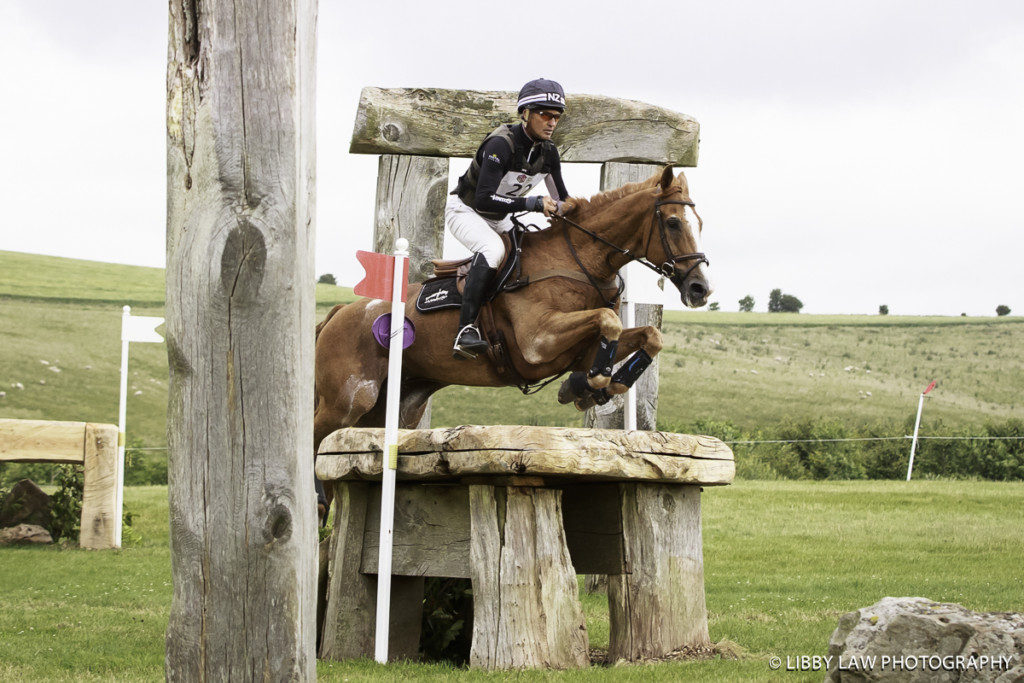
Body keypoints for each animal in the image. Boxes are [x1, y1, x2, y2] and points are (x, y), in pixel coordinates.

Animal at [311, 164, 712, 450]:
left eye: (700, 224)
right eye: (673, 223)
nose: (700, 289)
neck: (576, 260)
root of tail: (339, 312)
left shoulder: (579, 349)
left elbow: (648, 336)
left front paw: (590, 387)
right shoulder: (538, 342)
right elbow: (608, 319)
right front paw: (596, 383)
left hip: (399, 404)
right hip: (348, 401)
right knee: (316, 441)